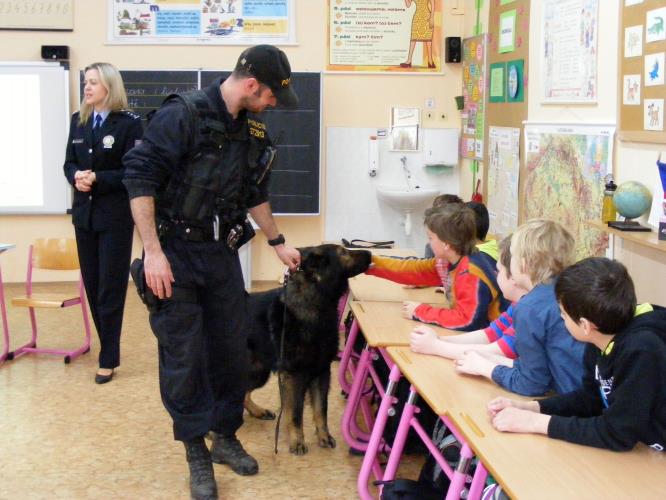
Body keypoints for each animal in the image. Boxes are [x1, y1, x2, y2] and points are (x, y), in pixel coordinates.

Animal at [244, 244, 370, 456]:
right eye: (343, 252)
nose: (371, 253)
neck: (317, 301)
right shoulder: (295, 376)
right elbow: (295, 413)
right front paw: (297, 441)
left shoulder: (321, 373)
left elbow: (321, 410)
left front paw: (324, 437)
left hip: (258, 373)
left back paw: (257, 411)